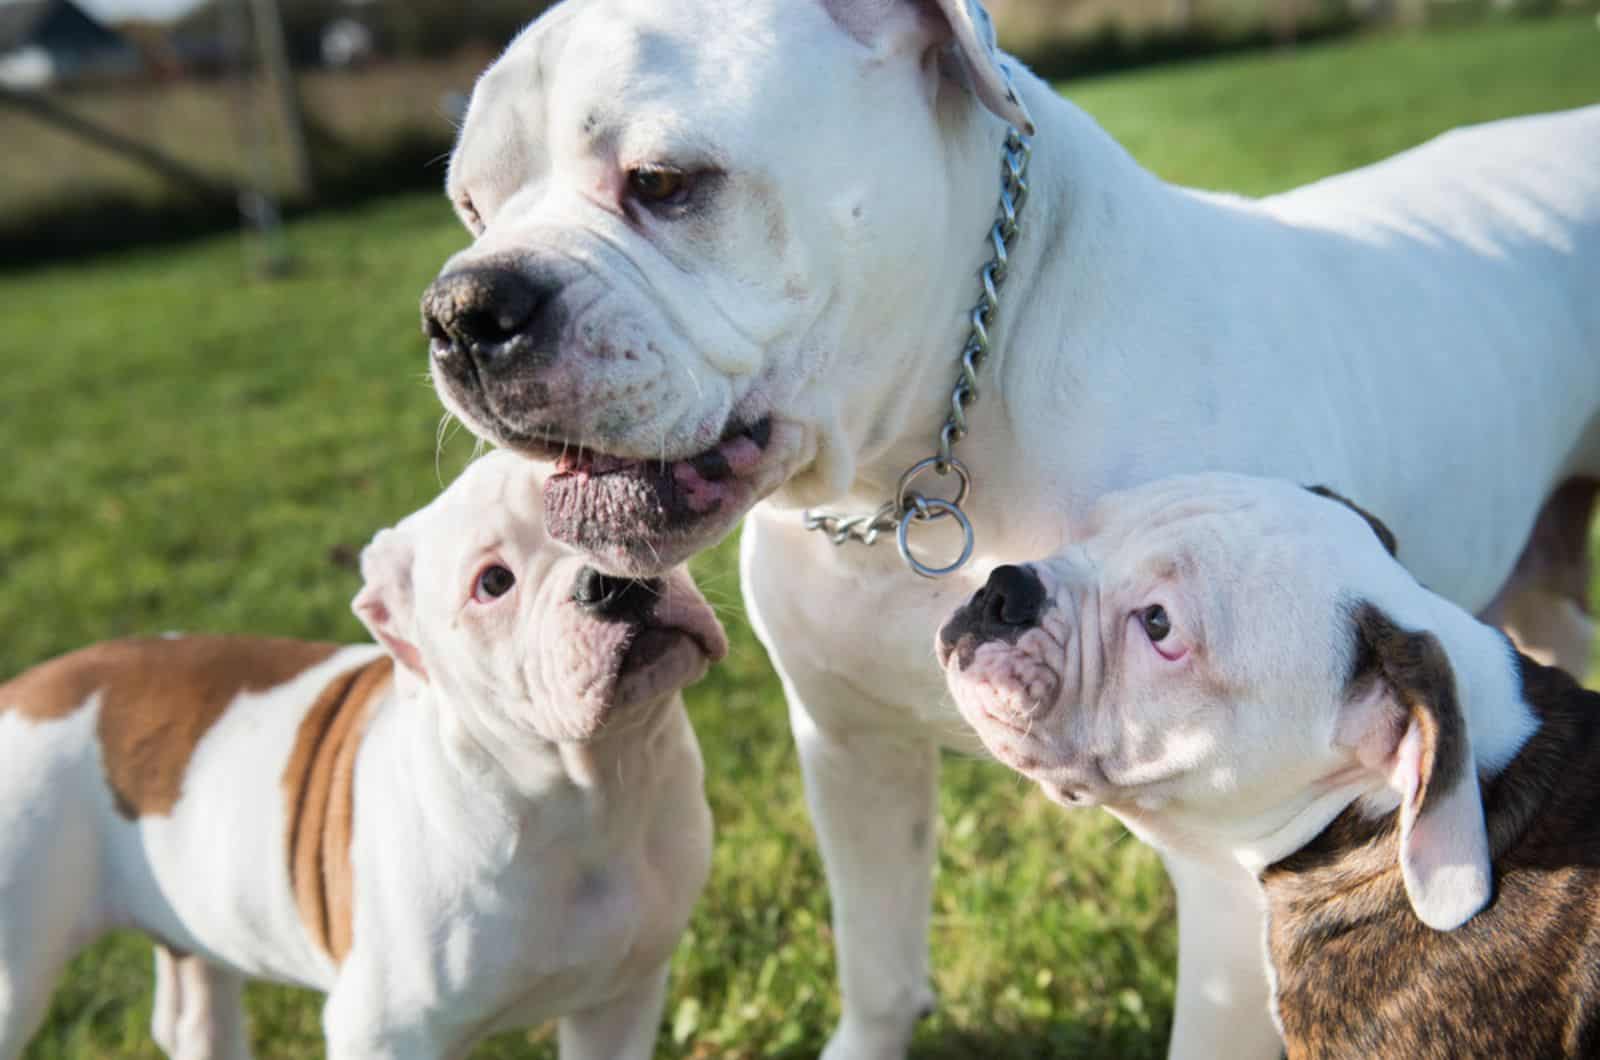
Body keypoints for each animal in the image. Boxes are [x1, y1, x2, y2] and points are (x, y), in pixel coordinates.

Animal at [0, 451, 726, 1060]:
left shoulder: (620, 1000)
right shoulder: (385, 1032)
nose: (611, 581)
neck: (591, 793)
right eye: (493, 582)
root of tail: (20, 691)